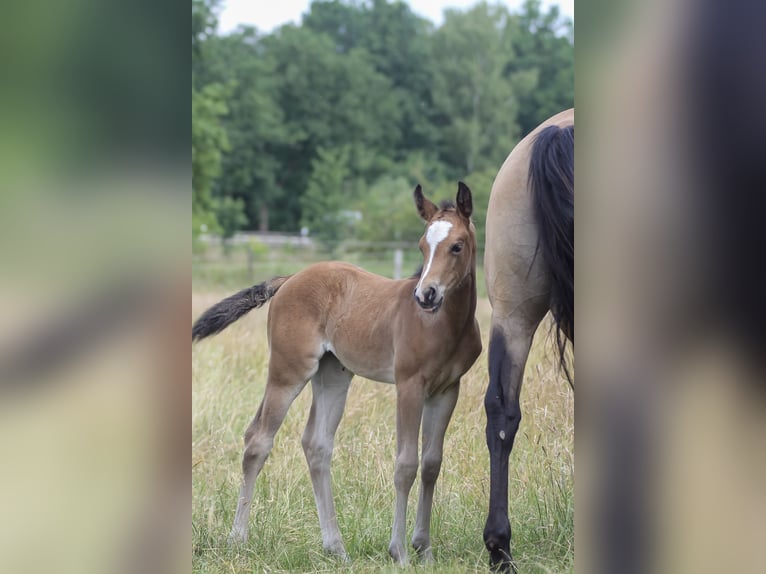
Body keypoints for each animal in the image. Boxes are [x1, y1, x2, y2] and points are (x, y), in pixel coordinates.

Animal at [192, 183, 482, 565]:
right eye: (422, 245)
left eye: (457, 246)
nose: (426, 294)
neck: (445, 325)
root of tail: (289, 279)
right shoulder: (410, 385)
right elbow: (406, 464)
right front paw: (401, 552)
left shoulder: (447, 389)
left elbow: (432, 463)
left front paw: (425, 550)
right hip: (288, 371)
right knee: (258, 440)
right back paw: (238, 538)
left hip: (333, 374)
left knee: (316, 444)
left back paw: (336, 546)